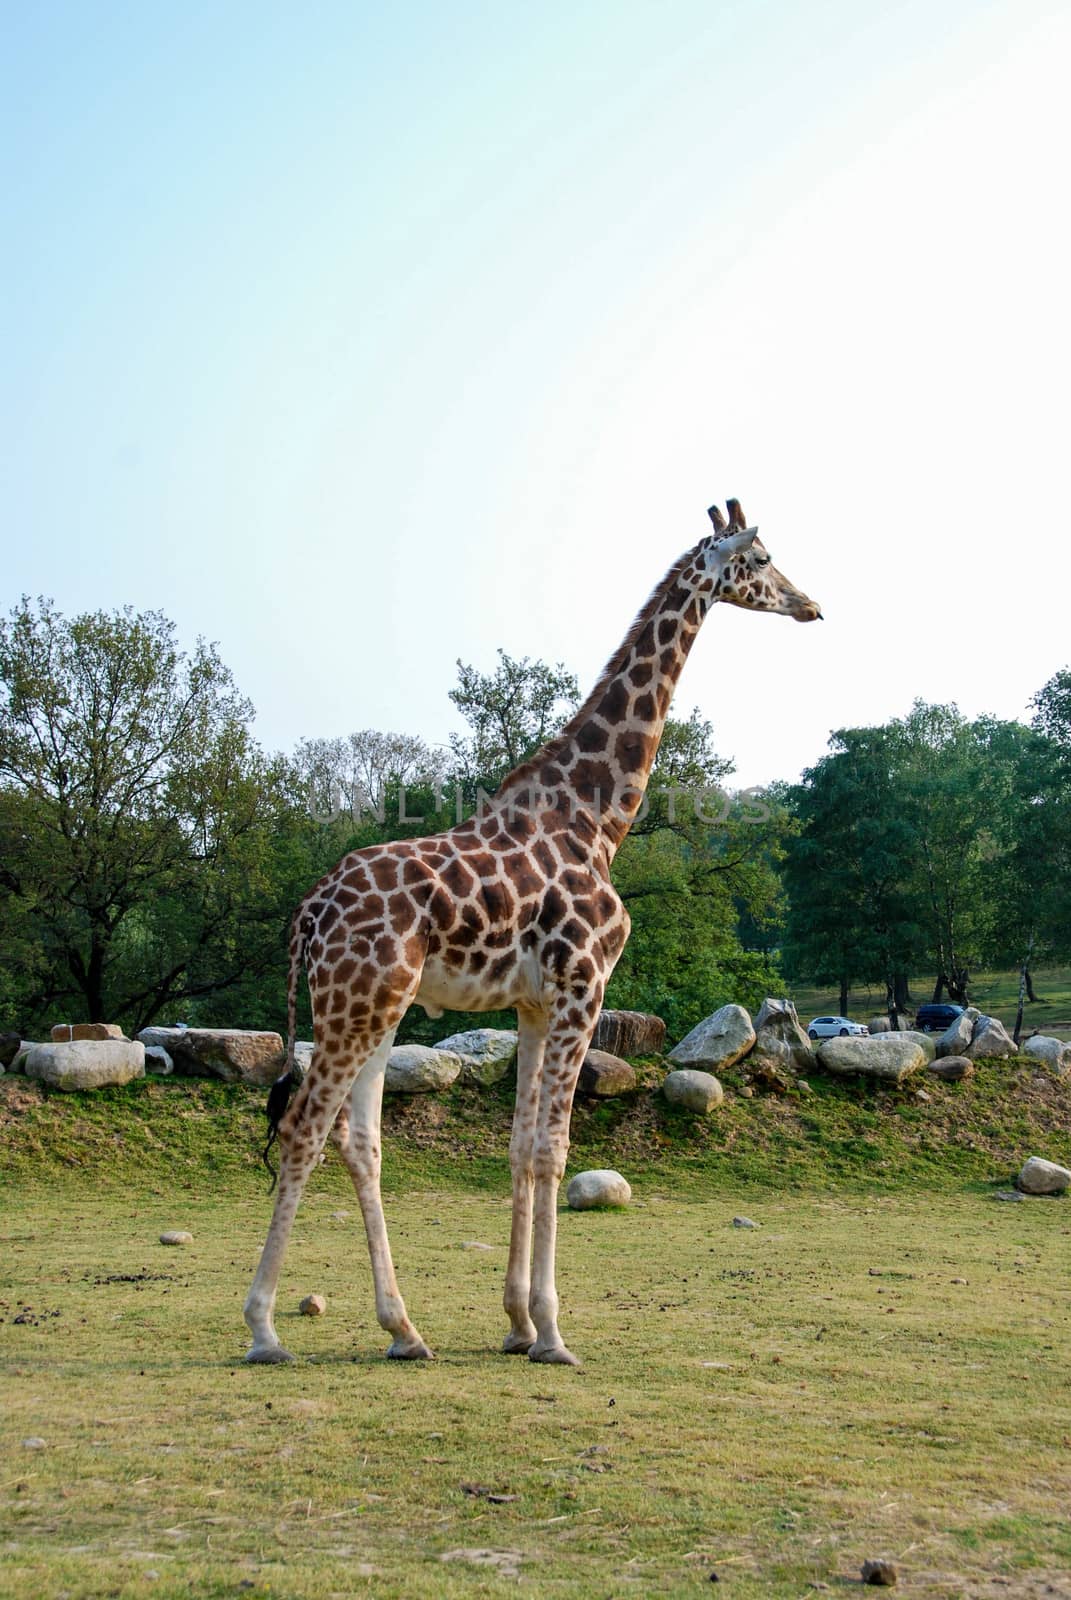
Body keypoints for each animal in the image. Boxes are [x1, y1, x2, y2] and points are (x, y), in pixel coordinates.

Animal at [246, 499, 826, 1363]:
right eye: (759, 557)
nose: (809, 604)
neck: (596, 818)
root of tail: (309, 914)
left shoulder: (530, 1003)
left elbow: (520, 1146)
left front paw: (517, 1323)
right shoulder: (584, 983)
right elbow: (553, 1148)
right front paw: (552, 1330)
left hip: (373, 1007)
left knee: (360, 1141)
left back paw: (404, 1329)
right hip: (357, 1002)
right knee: (305, 1129)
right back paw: (263, 1328)